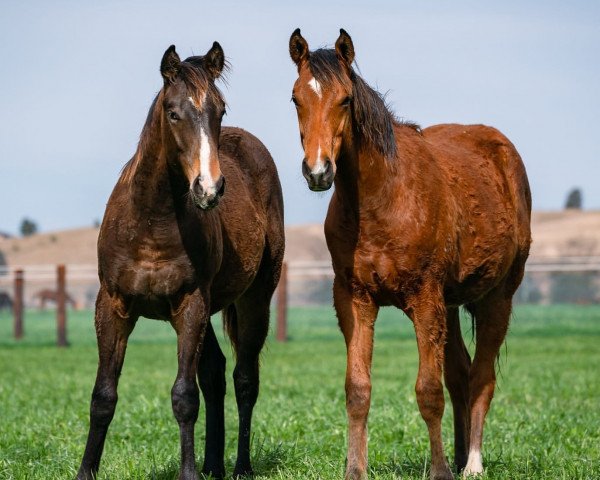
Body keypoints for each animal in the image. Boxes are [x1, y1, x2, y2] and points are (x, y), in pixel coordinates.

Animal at [77, 42, 284, 480]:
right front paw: (85, 471)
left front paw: (188, 473)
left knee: (244, 378)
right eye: (173, 112)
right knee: (215, 372)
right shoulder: (113, 305)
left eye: (220, 110)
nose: (209, 188)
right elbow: (103, 396)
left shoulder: (190, 305)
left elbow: (184, 396)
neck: (151, 221)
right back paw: (213, 465)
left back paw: (239, 467)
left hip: (255, 298)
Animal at [290, 30, 528, 480]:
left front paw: (439, 471)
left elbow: (428, 391)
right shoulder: (355, 299)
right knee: (462, 375)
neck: (383, 197)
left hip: (496, 299)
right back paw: (459, 455)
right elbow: (358, 389)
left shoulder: (424, 298)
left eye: (345, 99)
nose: (318, 172)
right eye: (296, 98)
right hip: (450, 304)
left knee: (482, 378)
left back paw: (471, 464)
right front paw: (355, 469)